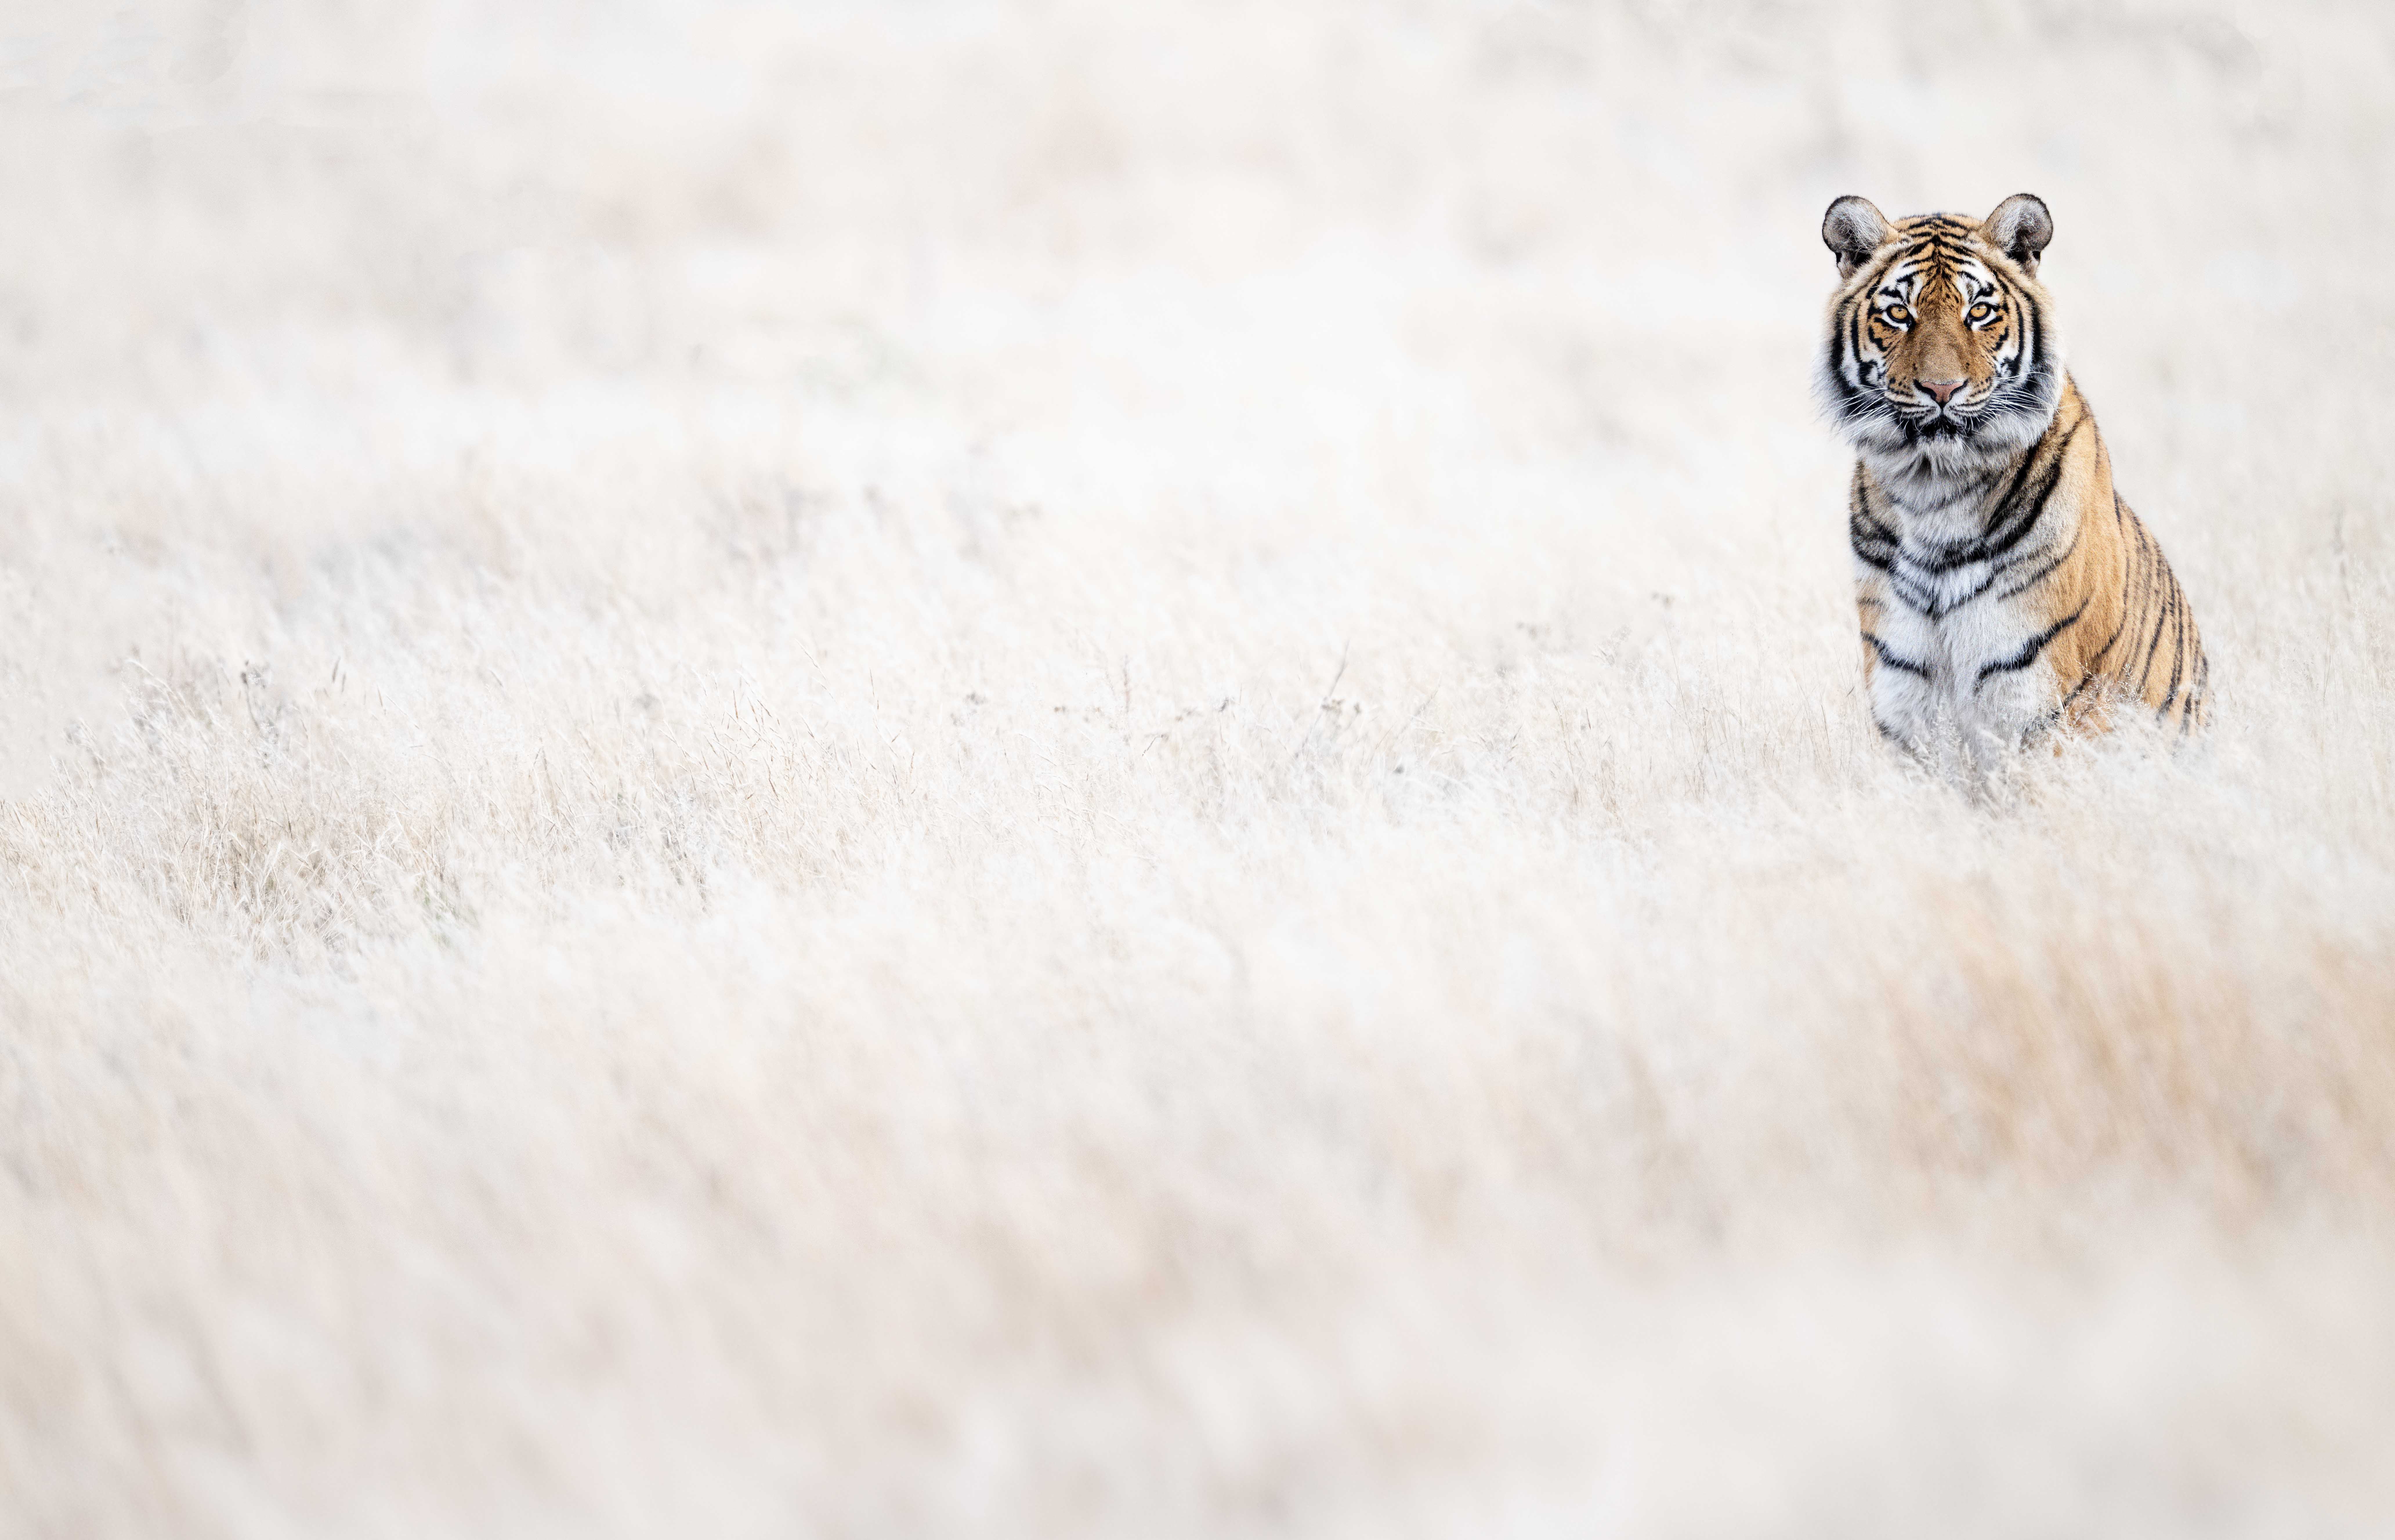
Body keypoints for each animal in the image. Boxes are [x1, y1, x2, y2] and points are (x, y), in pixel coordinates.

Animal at [1816, 192, 2208, 771]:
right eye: (1899, 313)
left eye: (1979, 312)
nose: (1941, 389)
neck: (1934, 494)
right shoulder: (1905, 695)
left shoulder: (2044, 701)